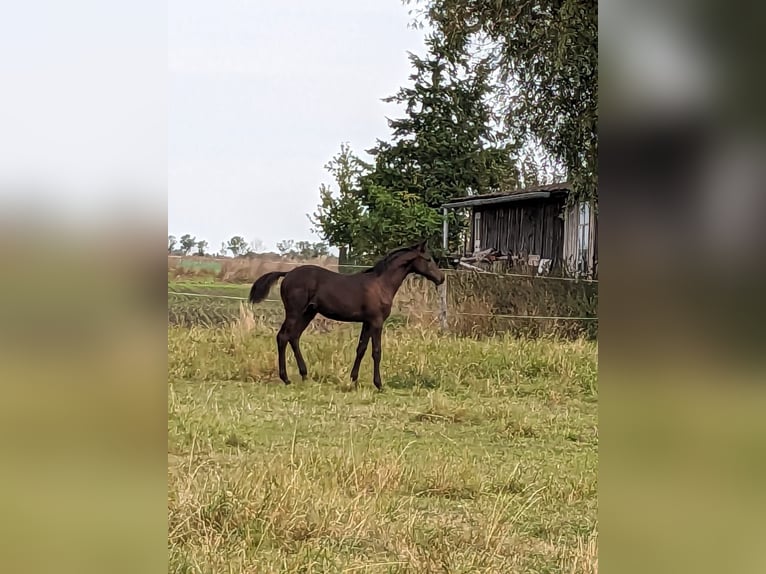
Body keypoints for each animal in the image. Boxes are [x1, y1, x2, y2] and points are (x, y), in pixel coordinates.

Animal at [249, 243, 448, 392]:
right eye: (428, 259)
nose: (441, 278)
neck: (381, 284)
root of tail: (287, 273)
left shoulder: (367, 322)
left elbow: (361, 349)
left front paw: (353, 380)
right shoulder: (377, 322)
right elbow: (376, 352)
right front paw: (379, 384)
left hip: (308, 313)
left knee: (294, 337)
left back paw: (304, 375)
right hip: (294, 312)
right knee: (283, 337)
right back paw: (286, 378)